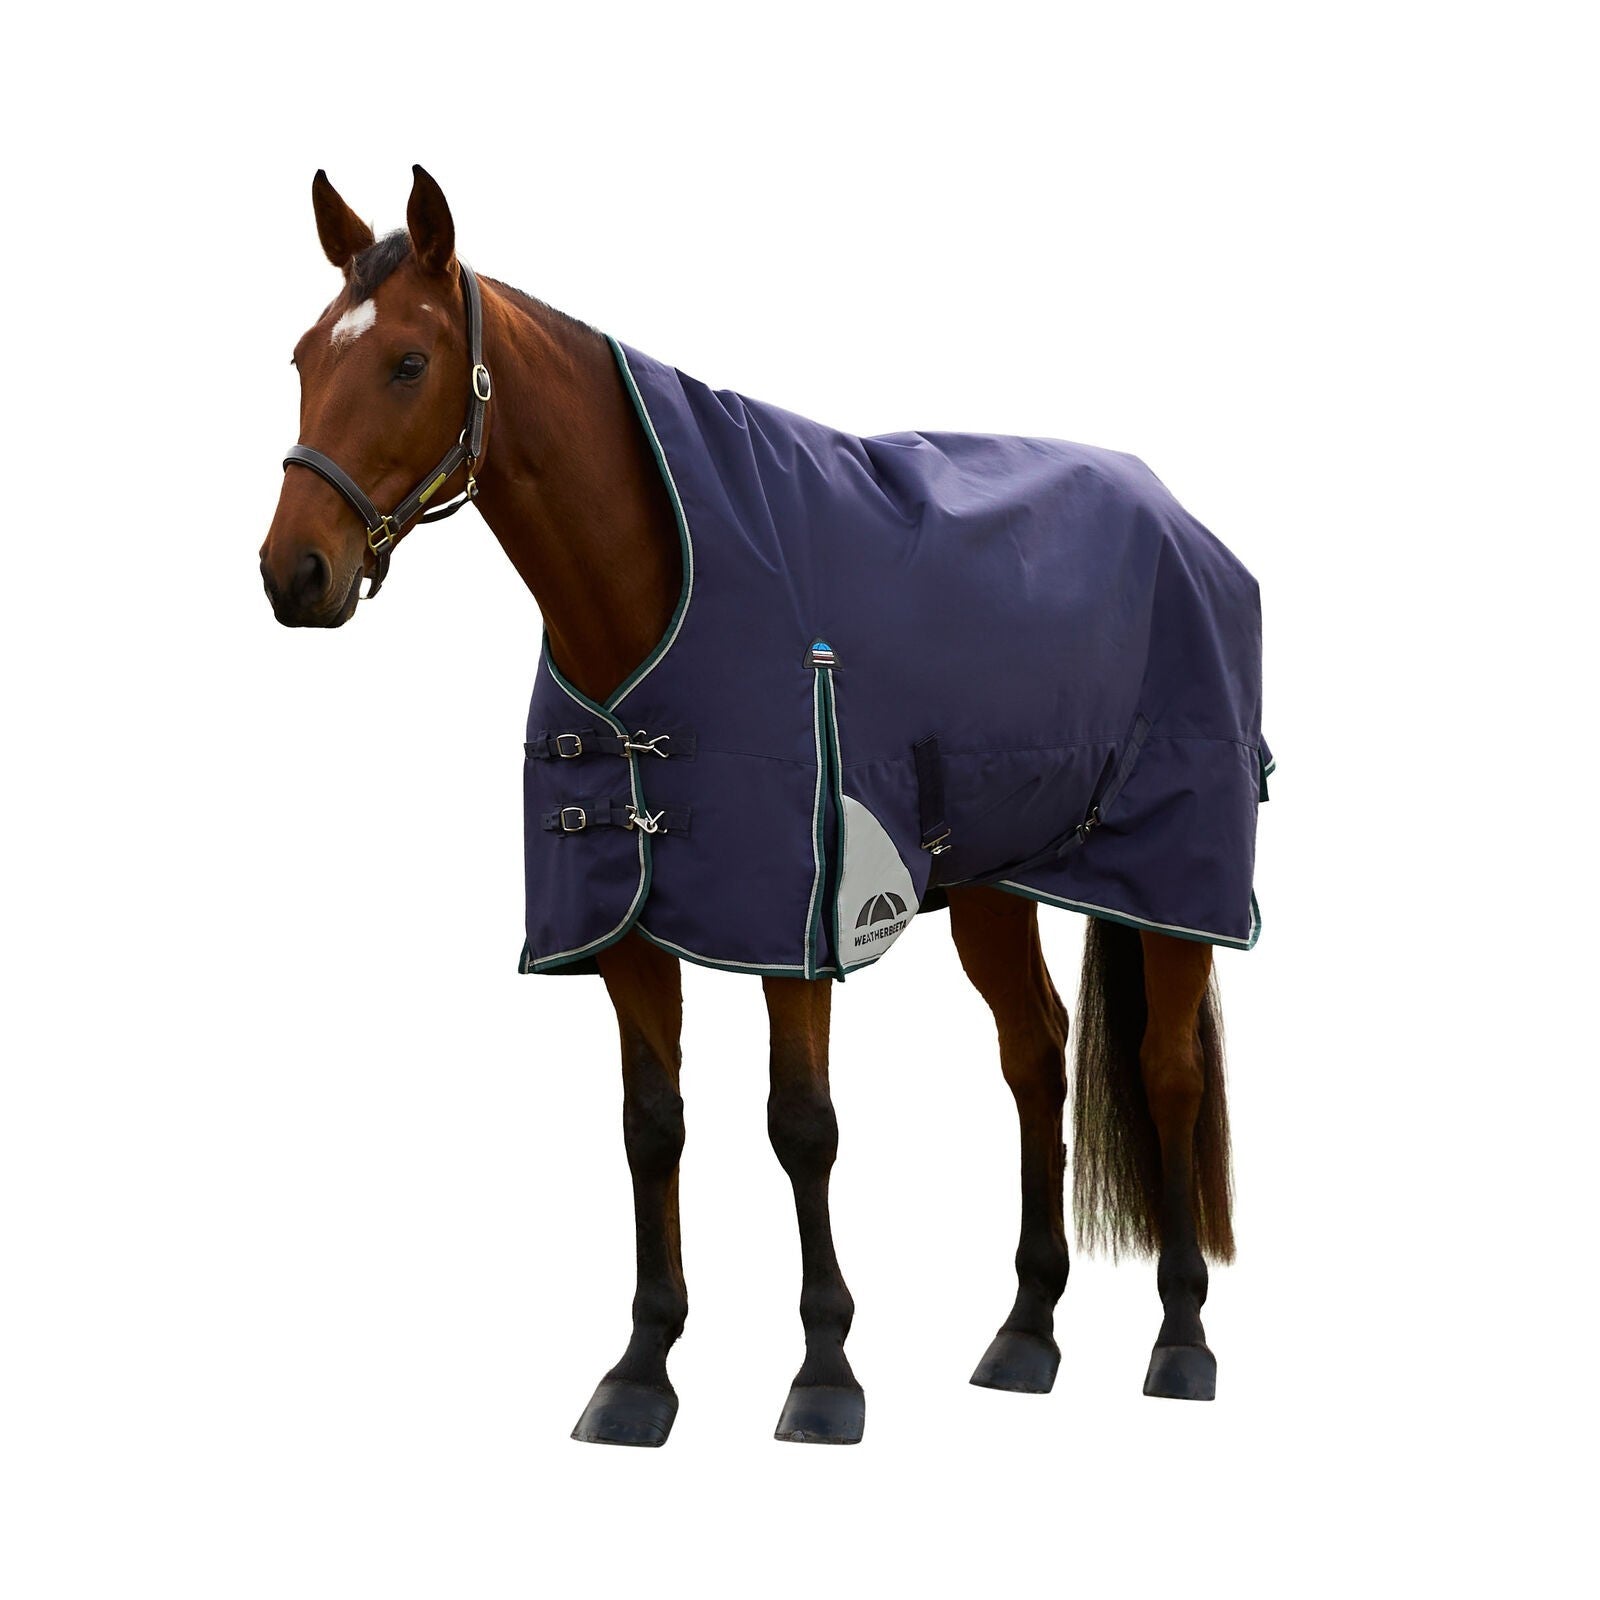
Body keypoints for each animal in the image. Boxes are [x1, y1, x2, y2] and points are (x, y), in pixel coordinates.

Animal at [260, 166, 1260, 1446]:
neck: (660, 589)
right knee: (1036, 1055)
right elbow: (650, 1126)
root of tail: (1179, 518)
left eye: (406, 363)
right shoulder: (627, 929)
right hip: (995, 879)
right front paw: (640, 1371)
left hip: (1174, 871)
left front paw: (824, 1373)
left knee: (1167, 1070)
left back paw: (1182, 1342)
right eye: (301, 357)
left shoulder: (801, 920)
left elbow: (802, 1125)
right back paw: (1025, 1334)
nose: (294, 573)